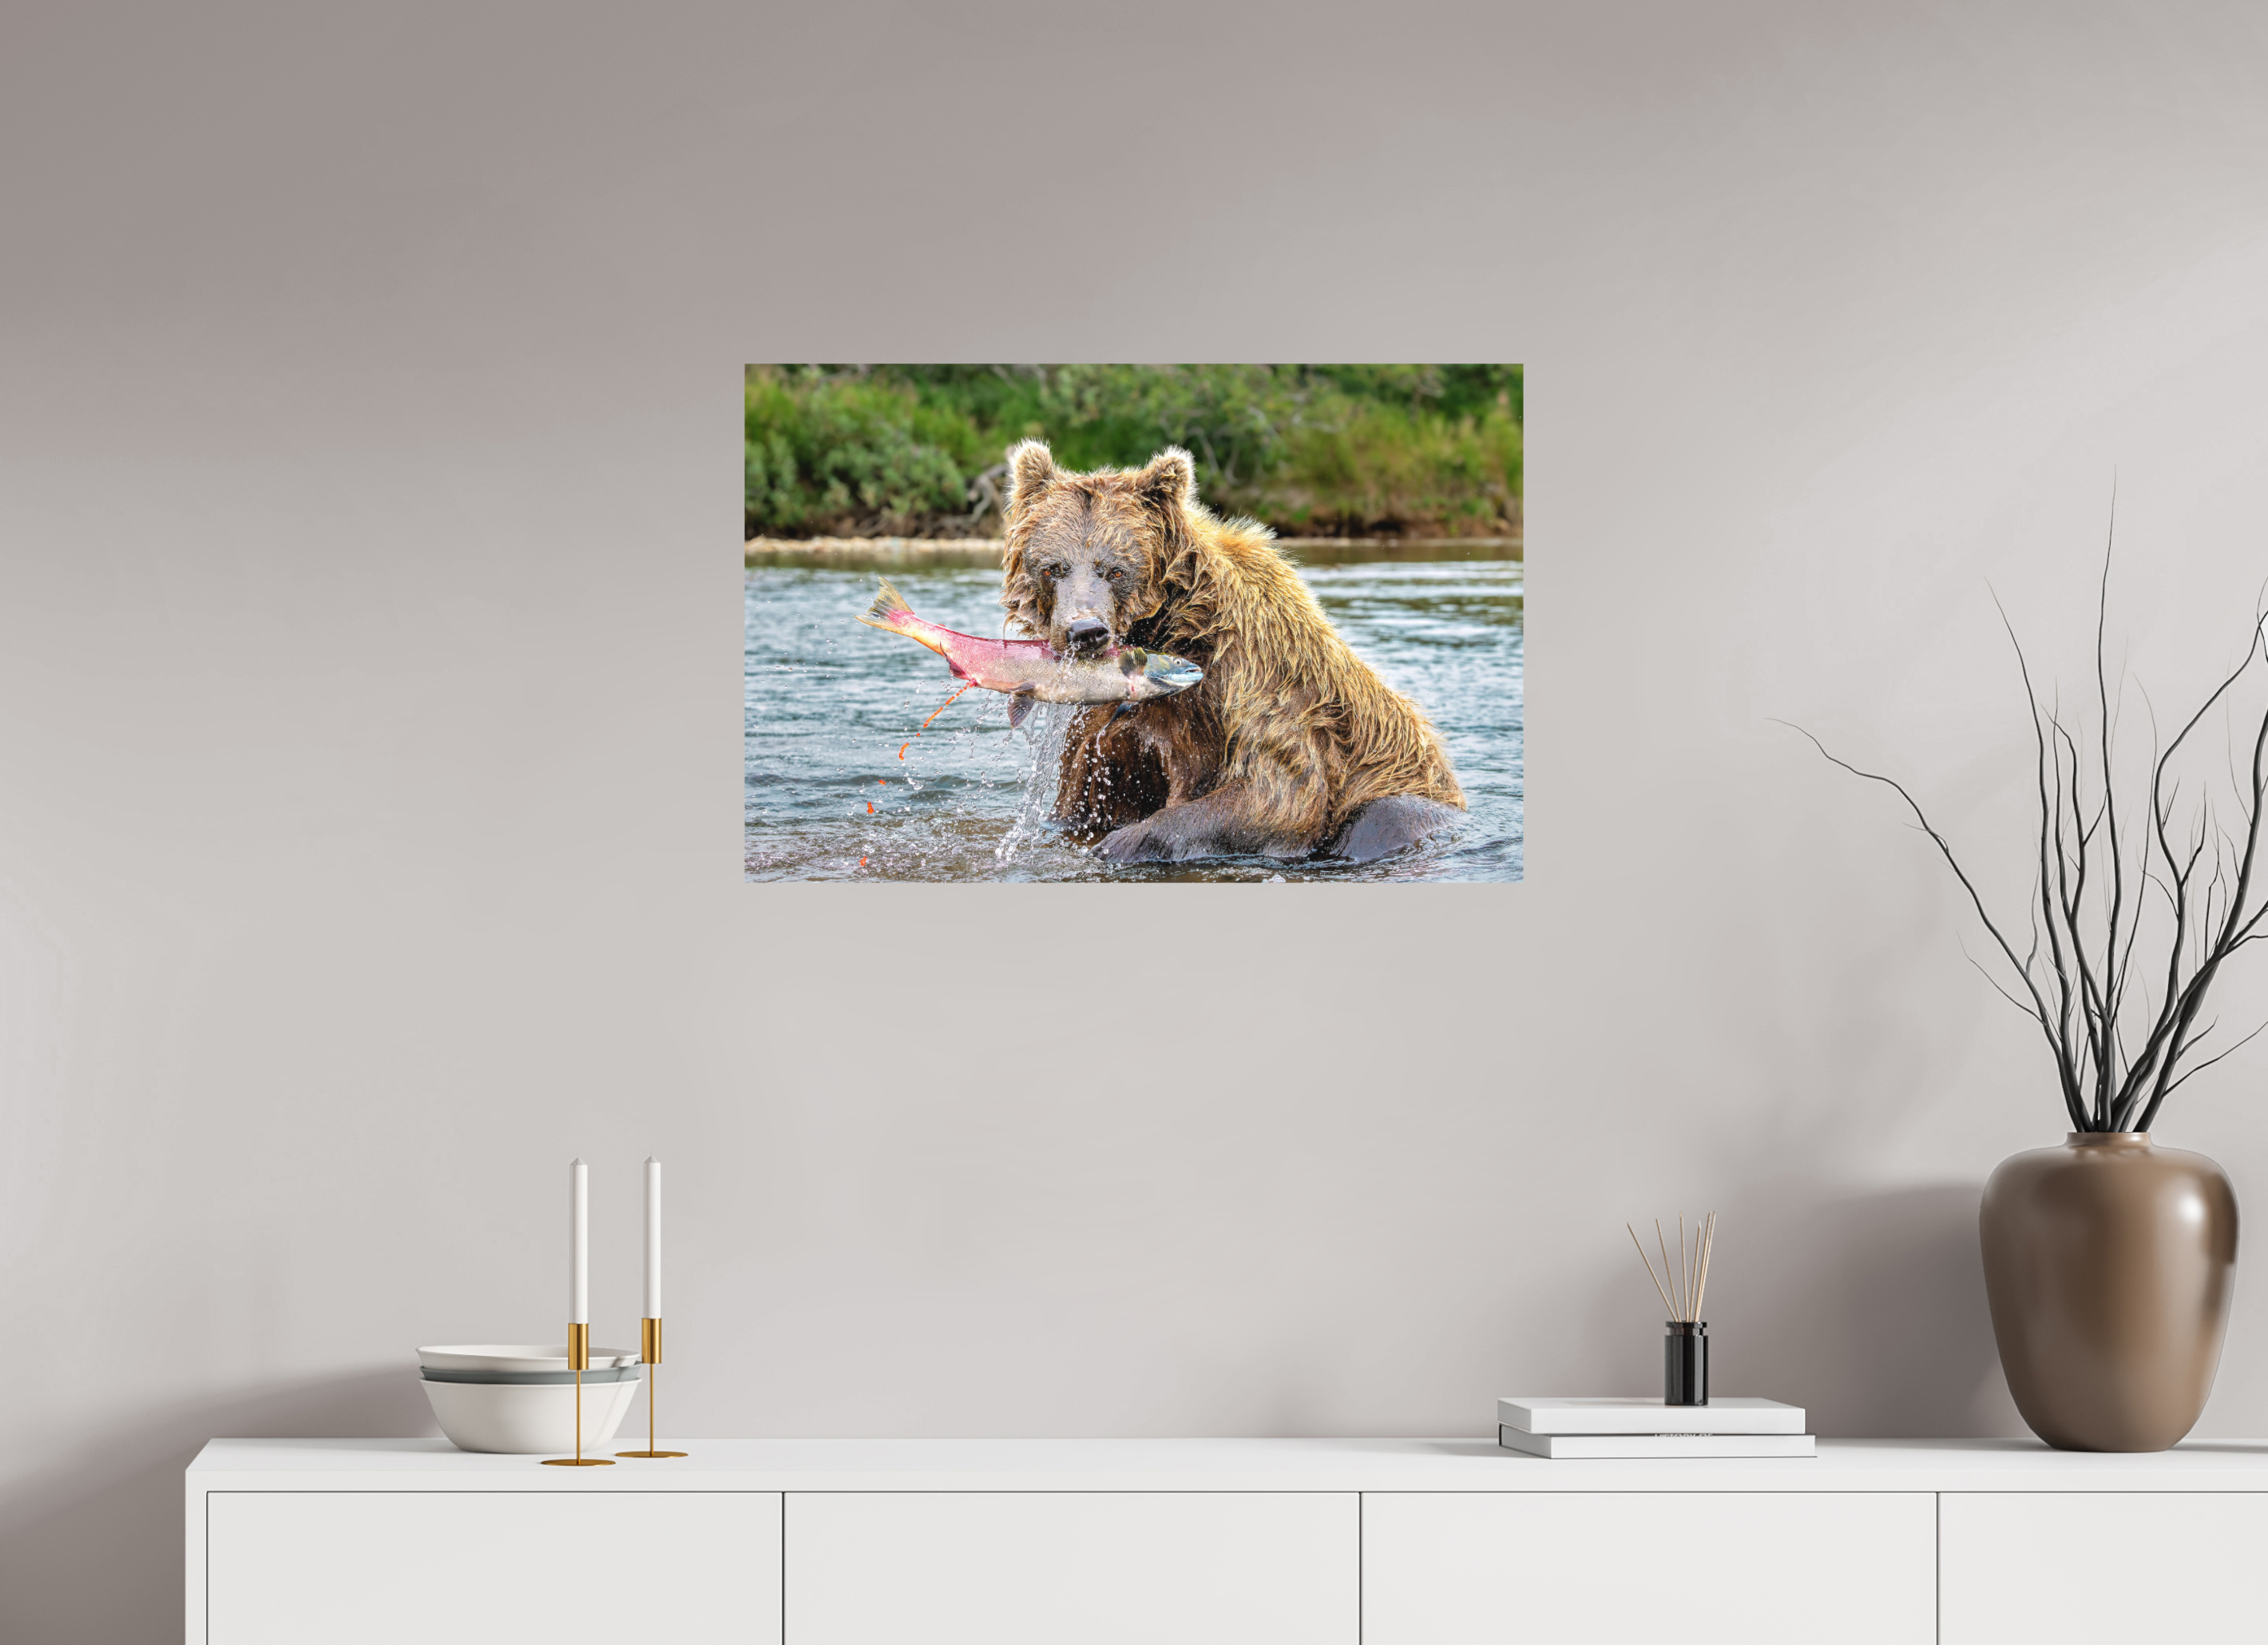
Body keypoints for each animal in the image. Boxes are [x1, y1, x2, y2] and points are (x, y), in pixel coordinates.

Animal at [998, 440, 1466, 864]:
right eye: (1053, 567)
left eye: (1115, 569)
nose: (1086, 631)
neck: (1169, 628)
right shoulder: (1109, 729)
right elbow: (1083, 796)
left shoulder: (1255, 673)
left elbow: (1280, 792)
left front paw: (1117, 844)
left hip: (1406, 790)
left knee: (1387, 816)